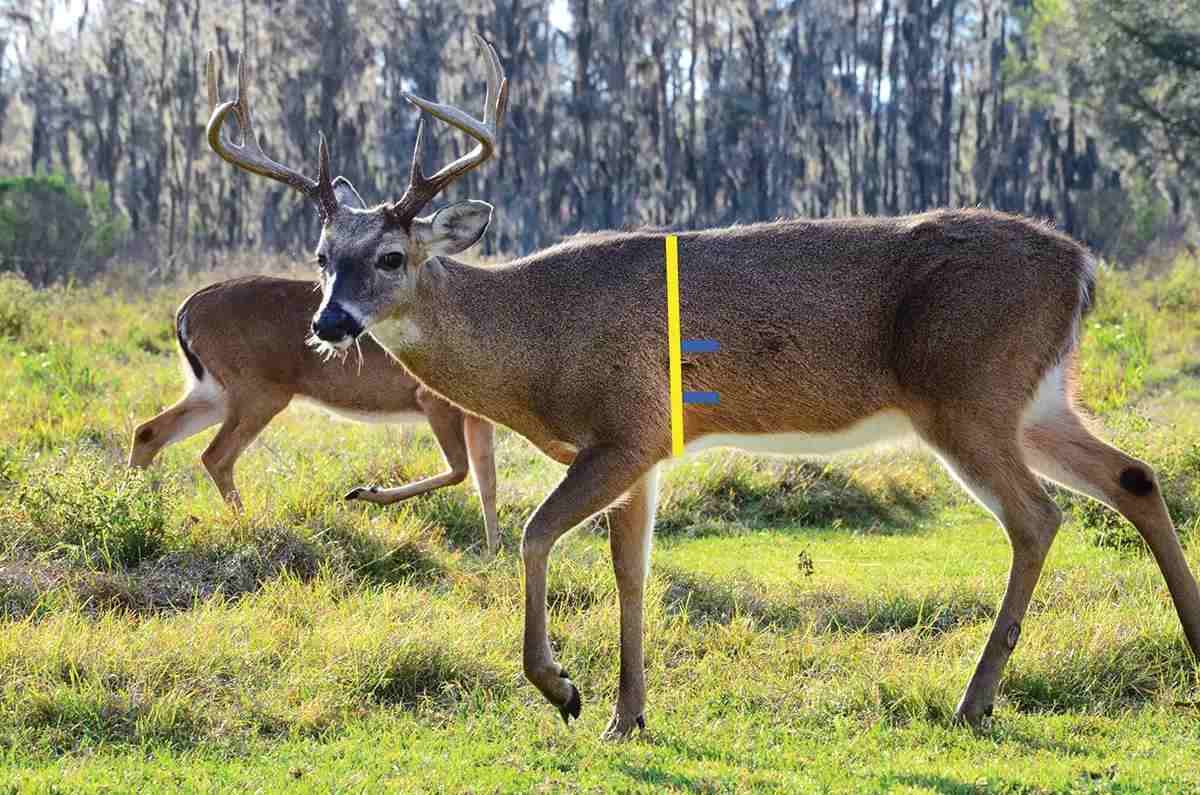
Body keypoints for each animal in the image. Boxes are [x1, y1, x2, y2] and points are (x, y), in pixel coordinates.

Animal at [127, 276, 500, 556]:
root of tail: (186, 309)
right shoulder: (433, 399)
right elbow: (460, 471)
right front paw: (364, 492)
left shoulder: (479, 416)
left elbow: (487, 482)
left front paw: (494, 555)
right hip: (258, 392)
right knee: (215, 455)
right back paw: (247, 527)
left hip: (215, 391)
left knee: (149, 431)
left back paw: (132, 508)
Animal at [205, 36, 1200, 740]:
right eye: (321, 255)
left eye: (390, 255)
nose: (331, 322)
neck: (537, 341)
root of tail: (1082, 267)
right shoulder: (640, 451)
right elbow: (630, 571)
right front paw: (626, 712)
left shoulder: (629, 427)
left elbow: (535, 534)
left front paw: (562, 689)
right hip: (1034, 398)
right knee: (1133, 475)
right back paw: (1189, 642)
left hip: (967, 392)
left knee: (1037, 516)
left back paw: (974, 698)